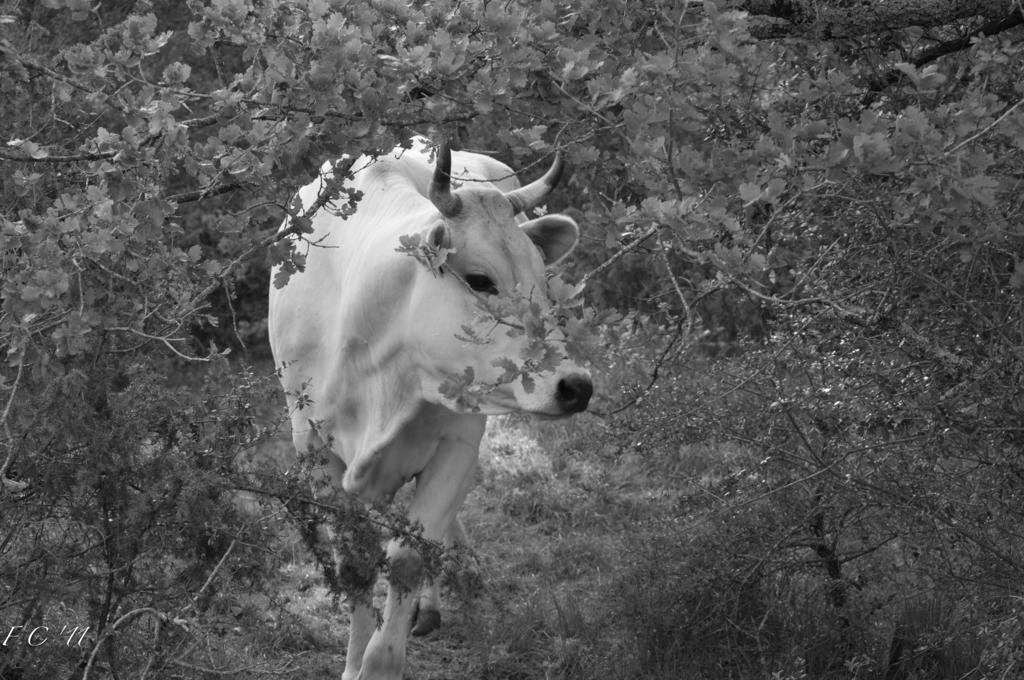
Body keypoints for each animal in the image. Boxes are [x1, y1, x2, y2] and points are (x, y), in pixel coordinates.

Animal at [268, 138, 593, 680]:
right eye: (480, 280)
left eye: (544, 284)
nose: (576, 386)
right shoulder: (312, 445)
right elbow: (355, 563)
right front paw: (354, 662)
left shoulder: (458, 444)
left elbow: (409, 559)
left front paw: (380, 662)